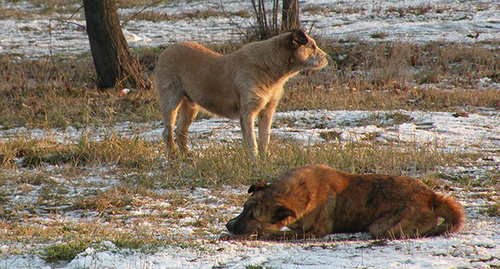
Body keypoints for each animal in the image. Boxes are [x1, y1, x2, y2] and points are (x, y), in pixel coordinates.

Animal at [156, 29, 328, 159]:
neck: (271, 68)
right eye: (312, 46)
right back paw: (173, 159)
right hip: (171, 102)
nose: (327, 57)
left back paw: (187, 158)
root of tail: (165, 51)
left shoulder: (267, 111)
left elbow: (264, 138)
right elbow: (251, 141)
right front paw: (254, 161)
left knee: (180, 132)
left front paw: (265, 160)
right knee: (167, 133)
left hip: (191, 106)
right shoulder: (247, 112)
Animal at [227, 163, 464, 239]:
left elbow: (274, 234)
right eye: (243, 208)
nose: (228, 225)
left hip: (382, 226)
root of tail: (432, 196)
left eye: (253, 216)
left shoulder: (313, 232)